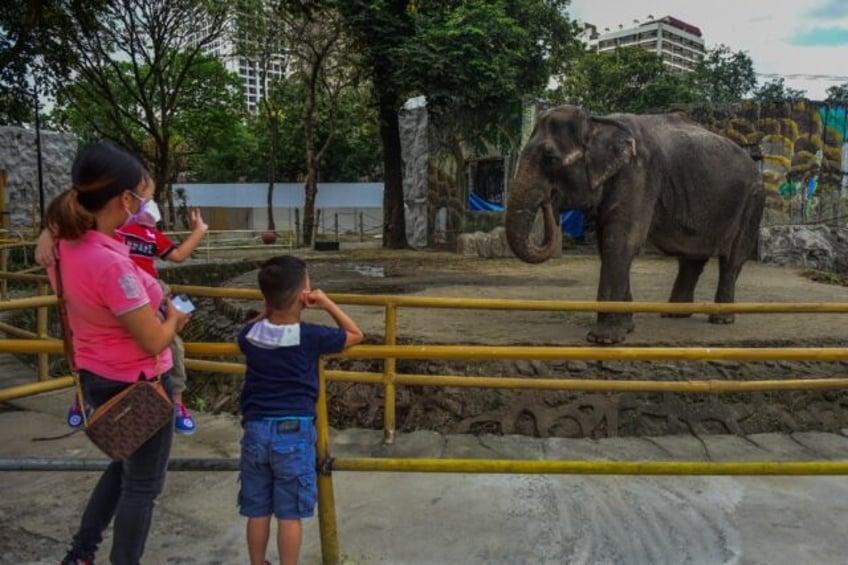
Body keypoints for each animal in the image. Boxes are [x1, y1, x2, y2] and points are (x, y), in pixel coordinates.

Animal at [500, 106, 764, 344]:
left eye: (550, 159)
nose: (549, 203)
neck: (597, 122)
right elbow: (608, 242)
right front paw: (627, 327)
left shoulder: (639, 174)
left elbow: (621, 240)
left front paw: (603, 339)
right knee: (691, 258)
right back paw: (674, 315)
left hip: (752, 201)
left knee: (732, 258)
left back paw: (721, 319)